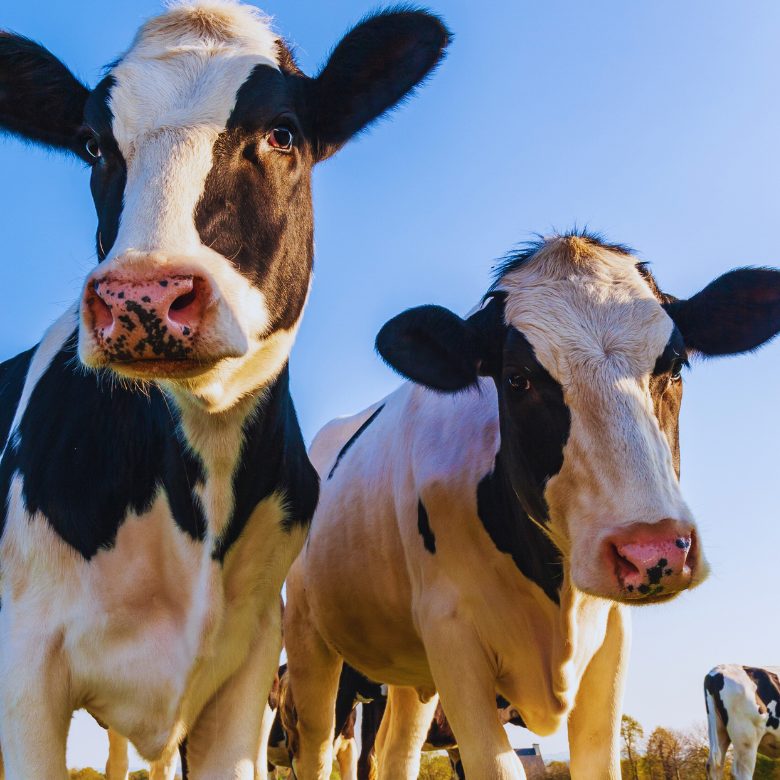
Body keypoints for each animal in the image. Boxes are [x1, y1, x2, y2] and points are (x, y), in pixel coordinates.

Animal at [284, 231, 780, 780]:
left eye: (674, 365)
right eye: (516, 378)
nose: (653, 553)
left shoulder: (610, 640)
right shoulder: (452, 636)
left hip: (409, 676)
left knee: (397, 754)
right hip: (308, 640)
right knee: (316, 750)